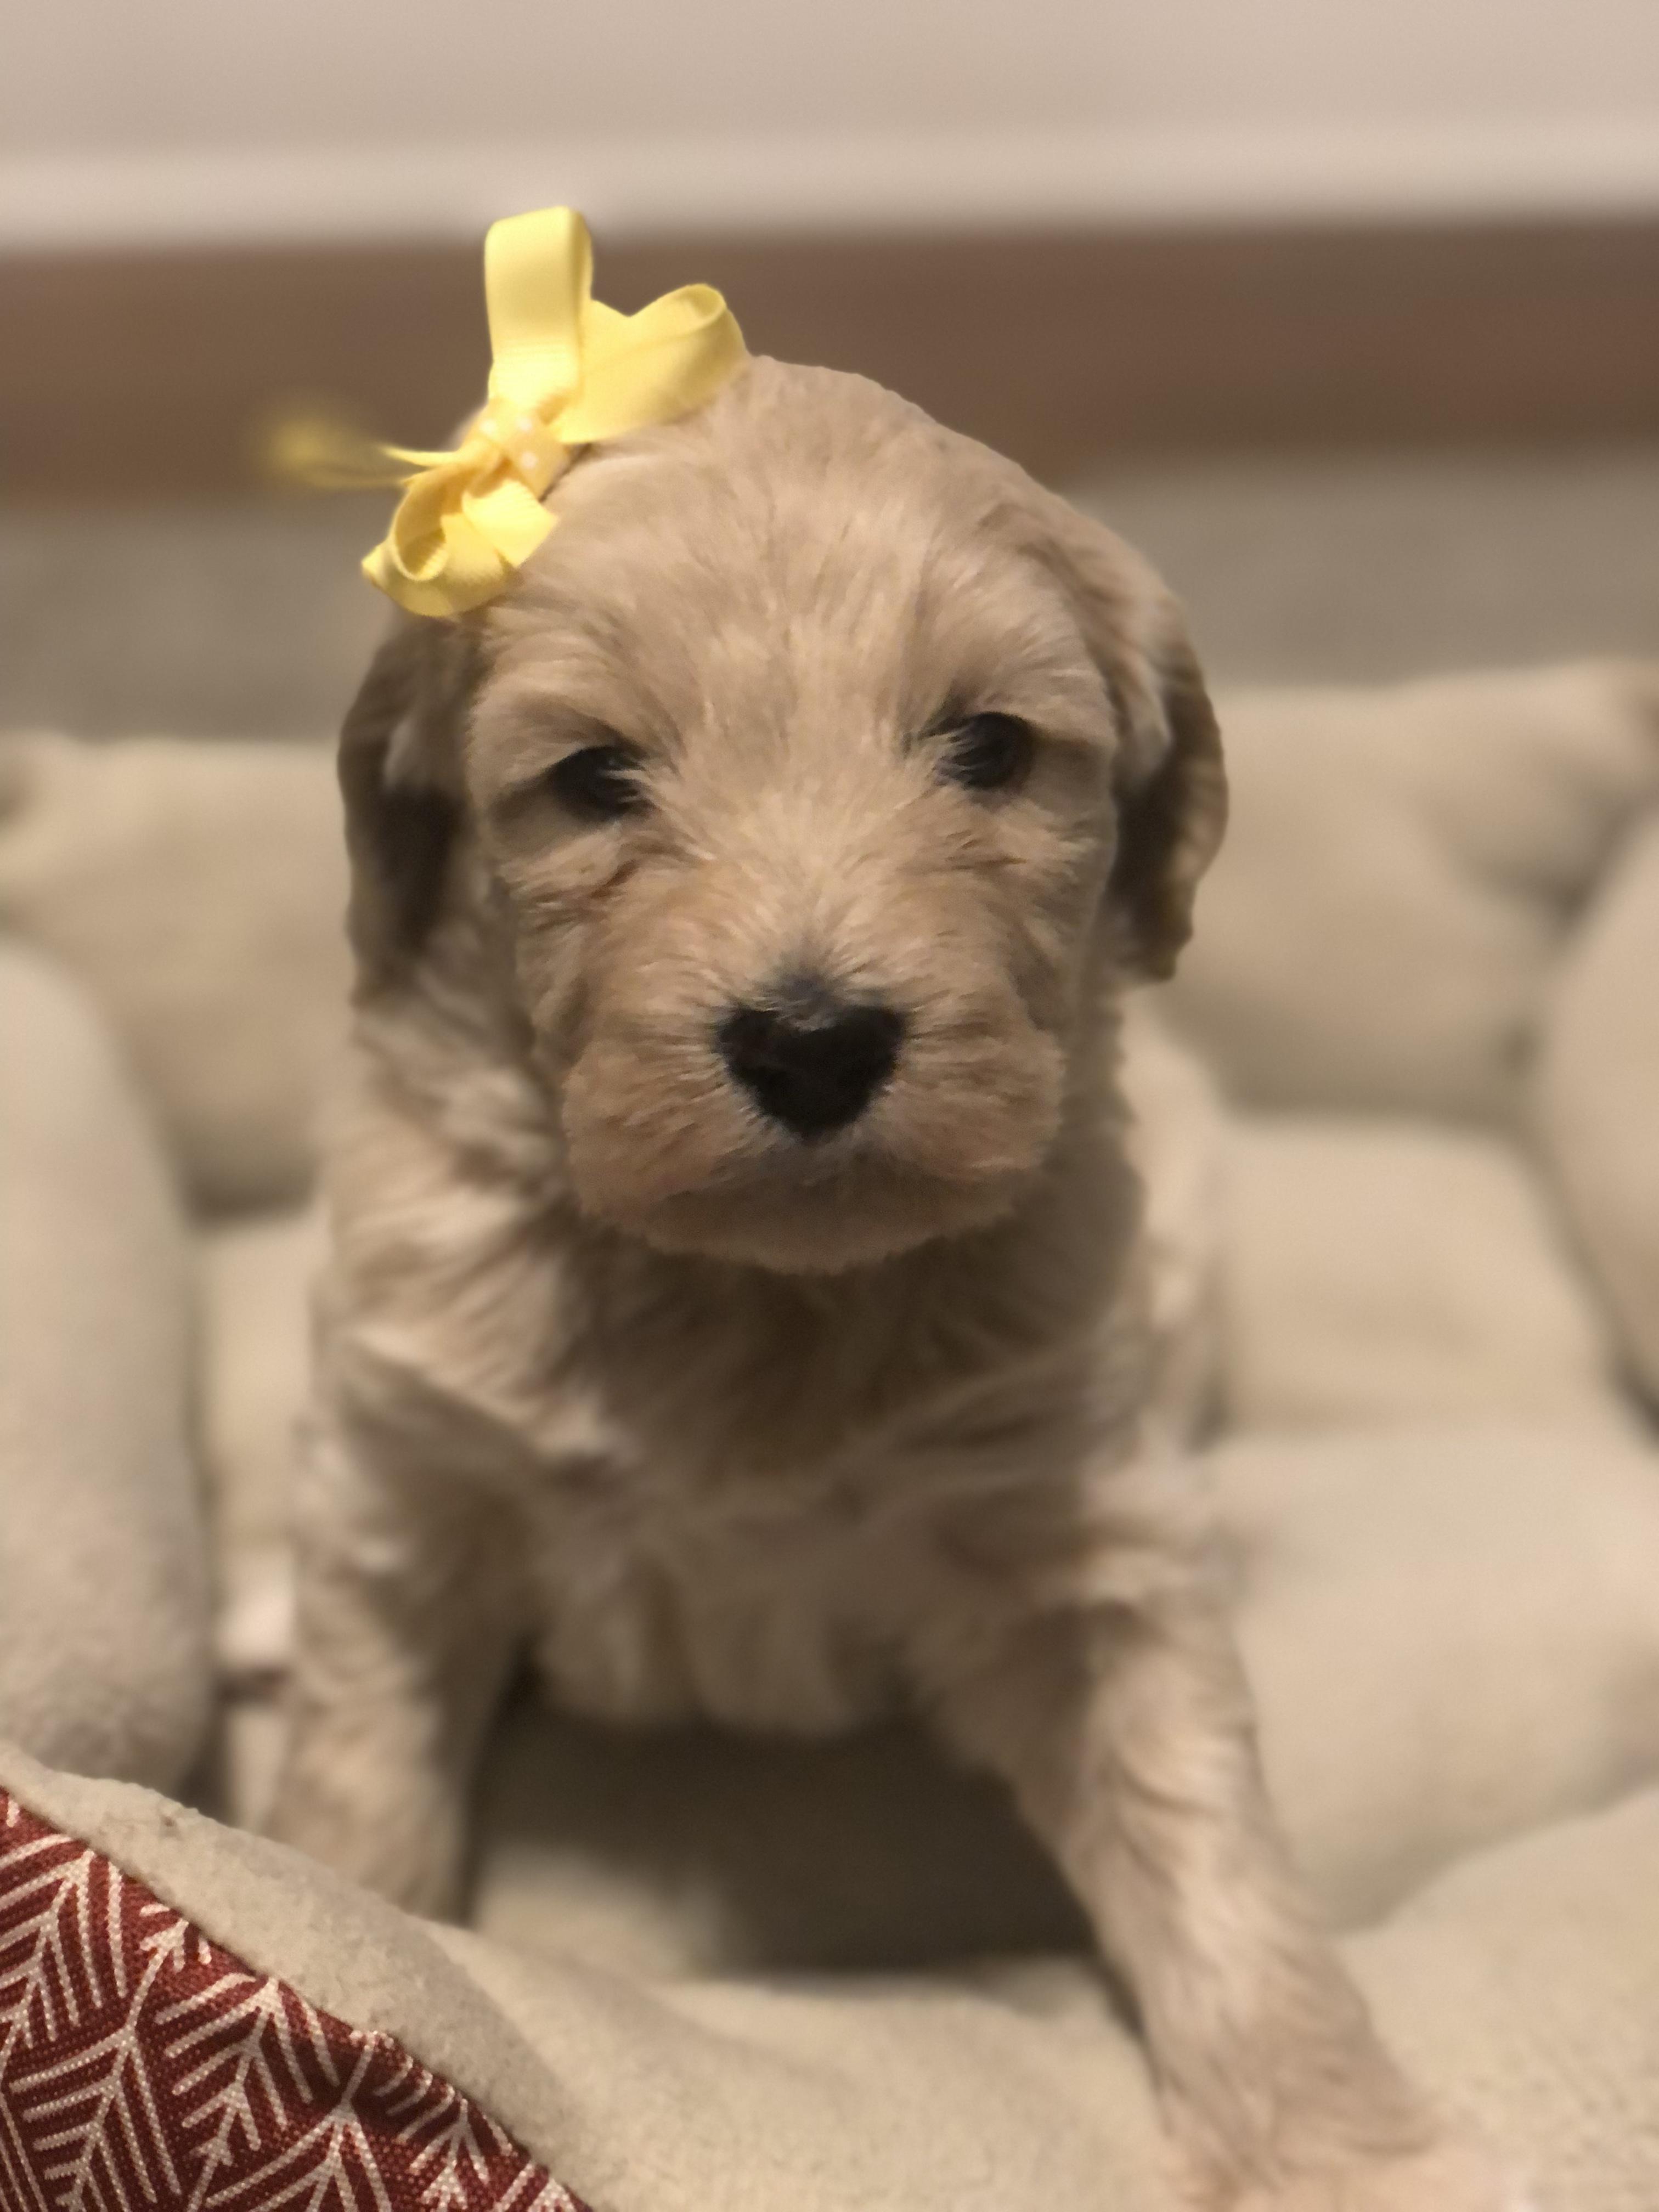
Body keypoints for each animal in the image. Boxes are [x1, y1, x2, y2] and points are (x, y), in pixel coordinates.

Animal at [270, 357, 1516, 2211]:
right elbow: (357, 1797)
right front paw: (338, 1954)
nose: (812, 1042)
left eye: (988, 748)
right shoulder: (408, 1493)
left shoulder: (1079, 1544)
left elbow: (1209, 1851)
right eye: (593, 777)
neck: (751, 1296)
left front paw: (1341, 2158)